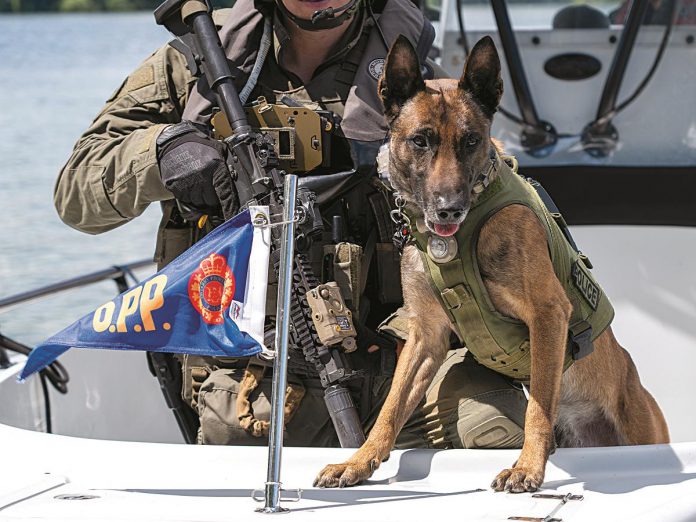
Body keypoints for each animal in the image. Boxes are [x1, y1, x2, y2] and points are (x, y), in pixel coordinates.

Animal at [316, 35, 668, 492]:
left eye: (470, 141)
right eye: (420, 141)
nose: (449, 208)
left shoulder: (548, 315)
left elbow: (538, 407)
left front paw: (528, 467)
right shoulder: (426, 336)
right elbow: (392, 407)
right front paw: (359, 461)